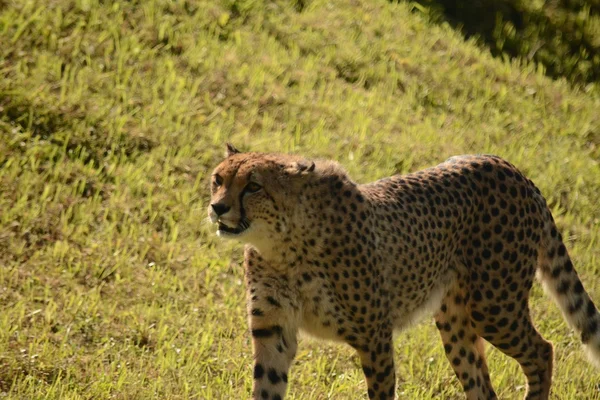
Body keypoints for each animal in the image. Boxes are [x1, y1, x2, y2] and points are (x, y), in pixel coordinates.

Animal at [207, 143, 600, 400]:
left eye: (253, 186)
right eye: (218, 179)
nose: (217, 207)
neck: (283, 246)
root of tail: (511, 168)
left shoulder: (375, 335)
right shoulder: (274, 330)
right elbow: (267, 385)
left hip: (494, 308)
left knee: (543, 351)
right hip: (455, 321)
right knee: (484, 387)